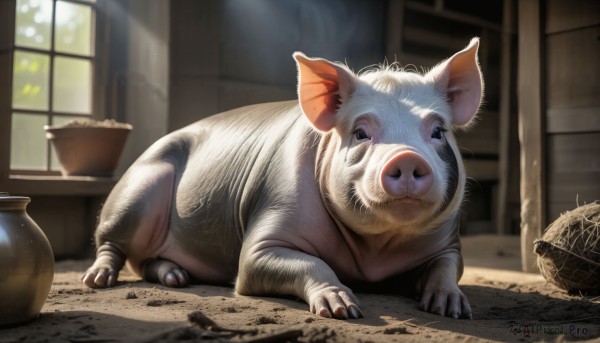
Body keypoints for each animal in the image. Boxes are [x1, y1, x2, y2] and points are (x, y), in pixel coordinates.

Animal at [81, 37, 482, 320]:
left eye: (438, 131)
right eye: (360, 132)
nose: (407, 156)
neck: (372, 257)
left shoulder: (449, 241)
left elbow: (448, 267)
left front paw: (454, 309)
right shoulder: (269, 223)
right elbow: (294, 262)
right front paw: (343, 309)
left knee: (148, 262)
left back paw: (176, 277)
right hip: (135, 193)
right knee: (111, 245)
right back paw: (97, 280)